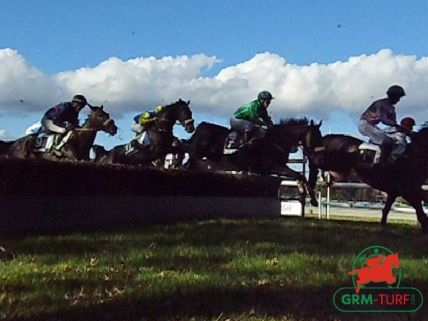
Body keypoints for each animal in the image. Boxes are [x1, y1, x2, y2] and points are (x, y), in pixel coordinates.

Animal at [186, 117, 322, 205]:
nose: (316, 154)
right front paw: (312, 199)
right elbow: (299, 175)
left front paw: (308, 196)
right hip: (196, 154)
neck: (276, 140)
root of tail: (201, 126)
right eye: (316, 136)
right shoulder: (273, 167)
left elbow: (298, 176)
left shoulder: (271, 169)